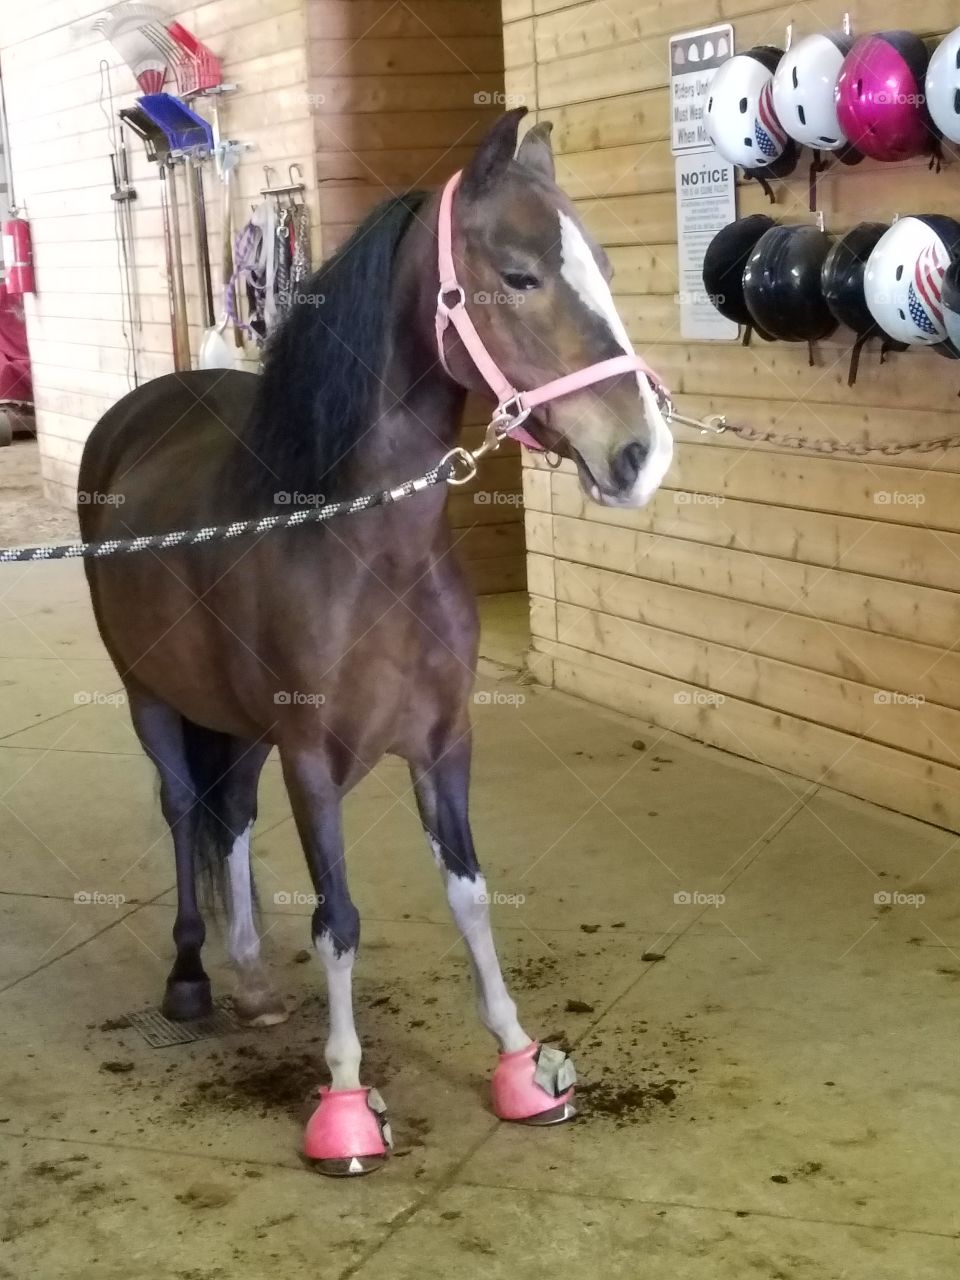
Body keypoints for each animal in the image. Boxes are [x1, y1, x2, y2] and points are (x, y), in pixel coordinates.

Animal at [77, 108, 674, 1174]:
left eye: (603, 265)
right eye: (519, 273)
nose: (641, 453)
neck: (363, 544)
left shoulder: (443, 743)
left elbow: (471, 896)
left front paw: (520, 1065)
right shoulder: (313, 759)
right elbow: (339, 920)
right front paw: (348, 1103)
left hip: (245, 727)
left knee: (231, 814)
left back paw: (253, 981)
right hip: (153, 698)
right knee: (187, 812)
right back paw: (193, 975)